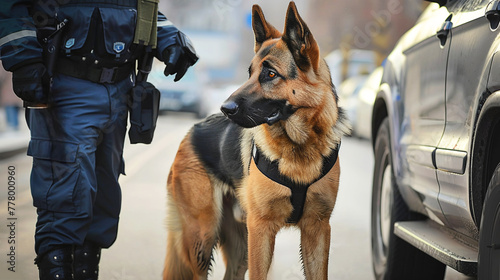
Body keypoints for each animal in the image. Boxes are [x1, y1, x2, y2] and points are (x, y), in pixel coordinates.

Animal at [163, 1, 348, 278]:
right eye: (249, 73)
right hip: (203, 238)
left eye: (270, 74)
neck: (299, 146)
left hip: (240, 247)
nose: (224, 108)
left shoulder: (317, 229)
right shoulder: (261, 229)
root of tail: (190, 132)